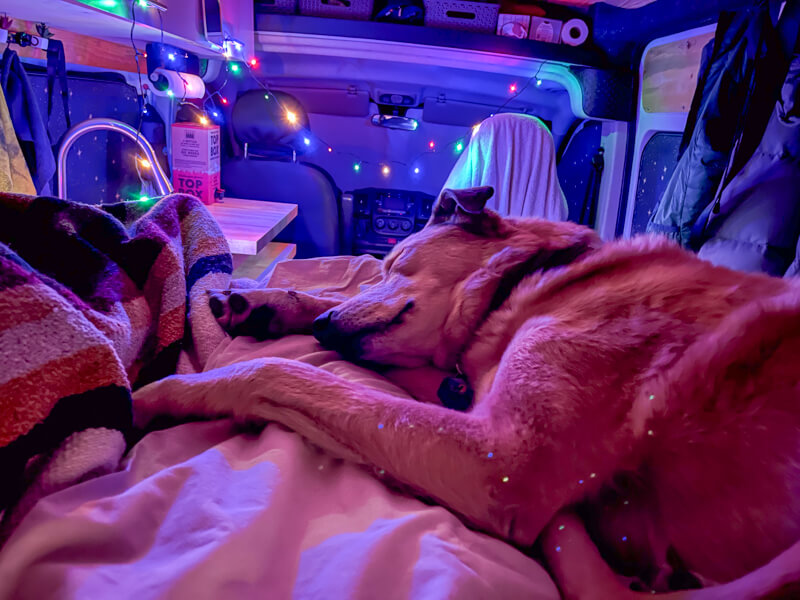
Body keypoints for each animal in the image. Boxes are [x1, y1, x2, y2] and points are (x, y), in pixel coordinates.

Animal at [134, 186, 800, 596]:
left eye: (394, 260)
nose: (322, 330)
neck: (531, 280)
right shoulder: (460, 393)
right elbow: (339, 325)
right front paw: (268, 306)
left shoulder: (498, 455)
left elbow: (281, 373)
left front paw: (163, 393)